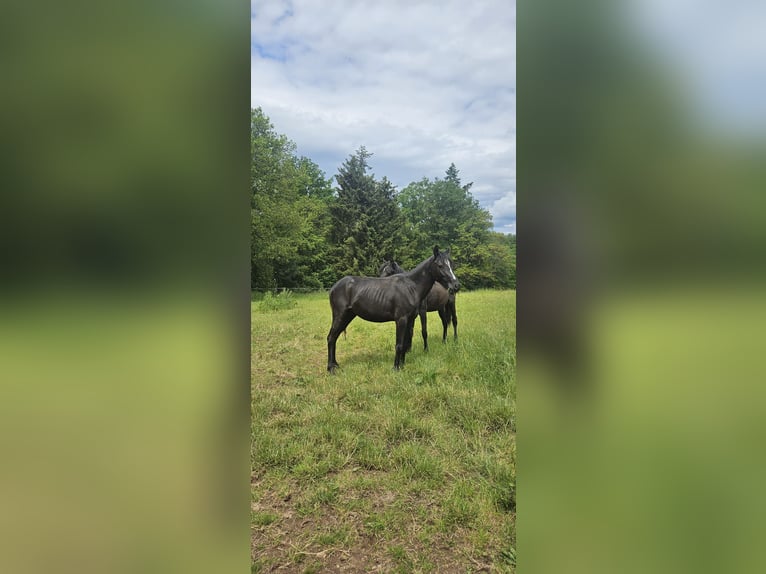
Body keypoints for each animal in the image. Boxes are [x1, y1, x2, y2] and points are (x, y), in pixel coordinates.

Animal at [326, 246, 460, 374]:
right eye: (440, 265)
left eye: (451, 264)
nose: (456, 285)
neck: (411, 287)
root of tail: (334, 287)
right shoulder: (401, 320)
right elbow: (399, 344)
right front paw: (396, 368)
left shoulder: (410, 319)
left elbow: (405, 342)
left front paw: (402, 364)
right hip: (340, 316)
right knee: (331, 338)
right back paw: (331, 368)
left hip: (348, 316)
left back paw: (335, 365)